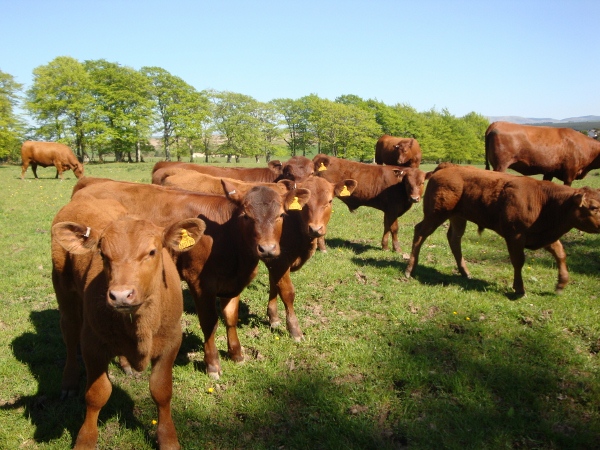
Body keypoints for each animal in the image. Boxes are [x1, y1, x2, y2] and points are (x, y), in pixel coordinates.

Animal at [50, 197, 204, 450]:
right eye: (103, 255)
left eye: (152, 251)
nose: (121, 295)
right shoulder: (92, 343)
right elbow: (96, 394)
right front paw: (85, 439)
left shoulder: (172, 340)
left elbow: (161, 390)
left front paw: (168, 438)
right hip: (64, 290)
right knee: (69, 333)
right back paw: (69, 381)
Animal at [71, 178, 310, 378]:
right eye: (246, 216)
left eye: (281, 215)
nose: (267, 249)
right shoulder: (200, 284)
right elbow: (209, 322)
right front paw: (212, 364)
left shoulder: (233, 283)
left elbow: (231, 317)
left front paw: (237, 354)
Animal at [400, 163, 600, 298]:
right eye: (594, 207)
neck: (544, 200)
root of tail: (447, 167)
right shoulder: (515, 236)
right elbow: (518, 261)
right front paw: (519, 289)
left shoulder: (544, 235)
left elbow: (560, 254)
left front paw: (561, 283)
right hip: (436, 214)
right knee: (420, 232)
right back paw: (410, 269)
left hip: (457, 217)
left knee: (454, 239)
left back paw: (465, 272)